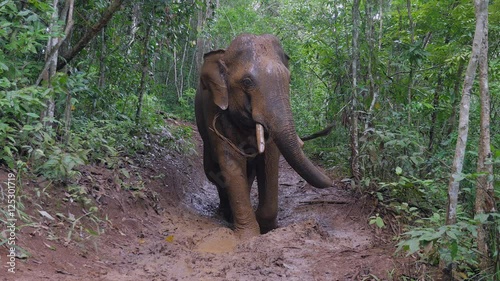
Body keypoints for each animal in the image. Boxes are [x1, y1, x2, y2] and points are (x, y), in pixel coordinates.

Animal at [195, 34, 332, 237]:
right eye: (247, 82)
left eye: (289, 80)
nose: (332, 183)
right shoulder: (214, 110)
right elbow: (230, 160)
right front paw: (248, 235)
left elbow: (270, 159)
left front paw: (267, 227)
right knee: (213, 171)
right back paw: (225, 213)